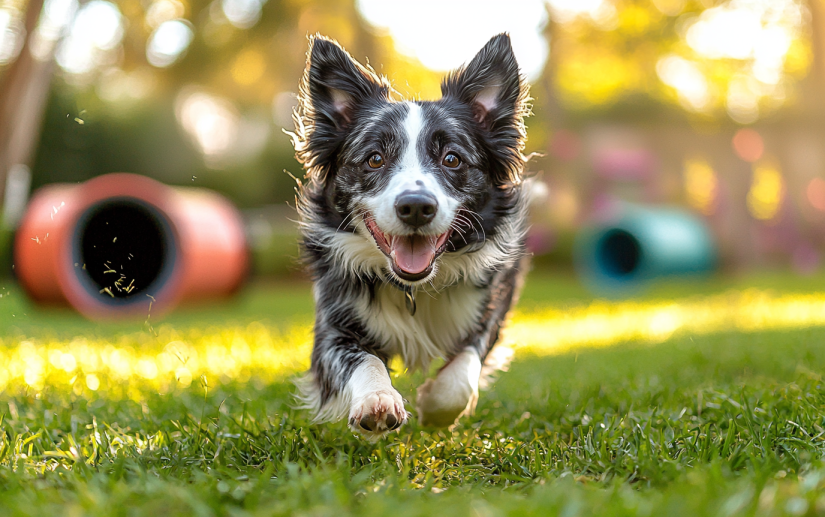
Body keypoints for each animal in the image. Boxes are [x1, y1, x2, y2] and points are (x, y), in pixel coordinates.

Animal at [292, 32, 532, 438]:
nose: (416, 206)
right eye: (375, 158)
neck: (413, 288)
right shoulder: (332, 324)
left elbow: (465, 368)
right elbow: (362, 360)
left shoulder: (491, 308)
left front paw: (435, 406)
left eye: (452, 159)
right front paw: (377, 400)